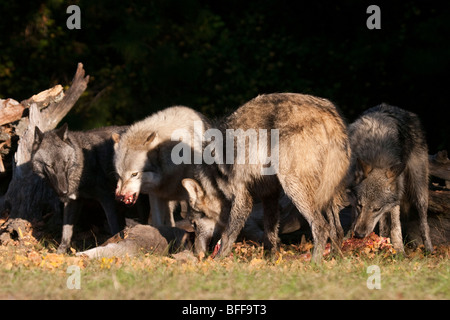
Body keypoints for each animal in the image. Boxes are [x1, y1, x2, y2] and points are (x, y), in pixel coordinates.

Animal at [181, 93, 350, 262]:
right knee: (337, 230)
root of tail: (329, 114)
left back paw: (314, 263)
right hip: (326, 192)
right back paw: (335, 259)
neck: (213, 177)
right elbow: (270, 234)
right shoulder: (269, 195)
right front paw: (273, 261)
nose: (197, 253)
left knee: (321, 227)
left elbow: (227, 236)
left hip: (294, 188)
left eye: (194, 224)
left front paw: (217, 262)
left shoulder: (243, 199)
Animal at [348, 102, 432, 252]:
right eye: (360, 205)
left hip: (419, 189)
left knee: (423, 222)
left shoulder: (394, 200)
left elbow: (395, 227)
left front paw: (399, 251)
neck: (376, 154)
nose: (359, 234)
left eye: (376, 209)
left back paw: (429, 249)